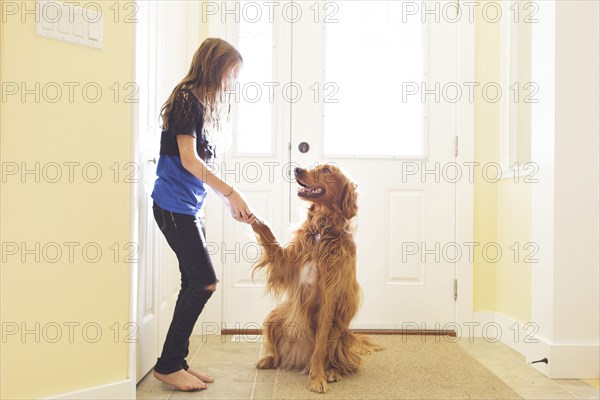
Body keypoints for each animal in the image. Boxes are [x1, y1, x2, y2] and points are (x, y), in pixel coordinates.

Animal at [250, 163, 382, 394]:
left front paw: (317, 378)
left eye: (327, 170)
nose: (297, 169)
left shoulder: (329, 297)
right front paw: (253, 217)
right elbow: (270, 239)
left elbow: (320, 347)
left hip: (337, 329)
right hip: (276, 317)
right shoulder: (287, 264)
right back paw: (270, 360)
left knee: (342, 361)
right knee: (279, 354)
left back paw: (331, 372)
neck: (322, 229)